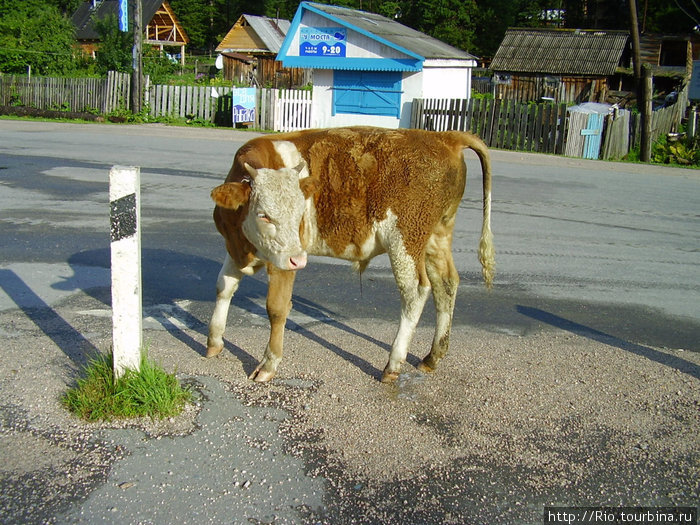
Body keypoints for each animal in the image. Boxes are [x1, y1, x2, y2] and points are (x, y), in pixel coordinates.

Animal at [208, 126, 492, 380]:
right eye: (263, 215)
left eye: (300, 214)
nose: (299, 259)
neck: (243, 242)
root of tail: (445, 137)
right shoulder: (235, 248)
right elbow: (223, 287)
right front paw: (213, 342)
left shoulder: (283, 261)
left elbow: (276, 309)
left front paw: (268, 365)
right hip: (437, 235)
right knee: (446, 284)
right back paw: (433, 356)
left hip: (406, 239)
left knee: (416, 291)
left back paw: (393, 364)